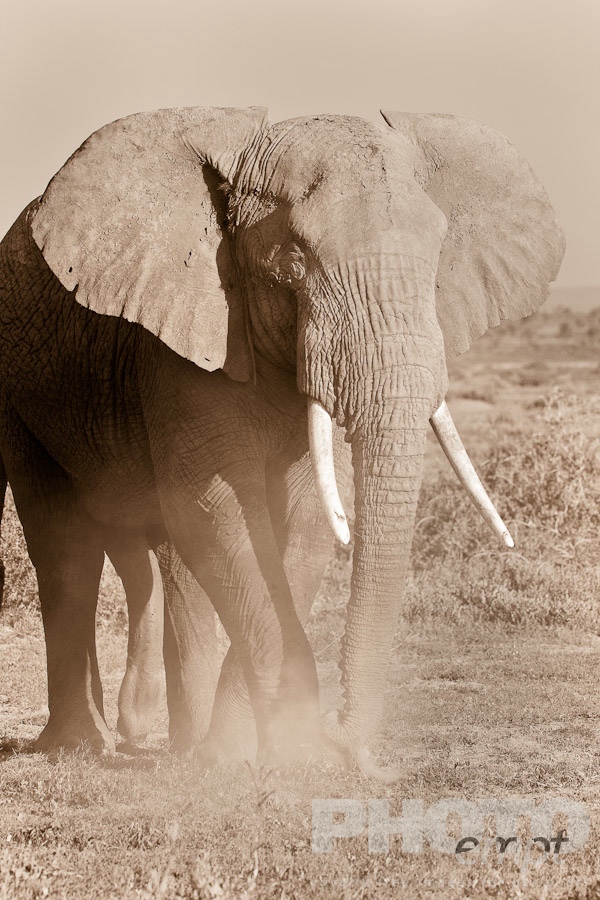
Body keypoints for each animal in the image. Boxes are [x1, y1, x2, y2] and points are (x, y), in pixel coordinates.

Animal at [0, 106, 565, 771]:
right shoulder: (178, 345)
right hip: (19, 387)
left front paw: (245, 753)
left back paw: (175, 744)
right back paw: (81, 745)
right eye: (292, 264)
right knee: (67, 549)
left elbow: (306, 522)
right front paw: (291, 753)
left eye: (436, 262)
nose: (352, 748)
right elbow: (215, 512)